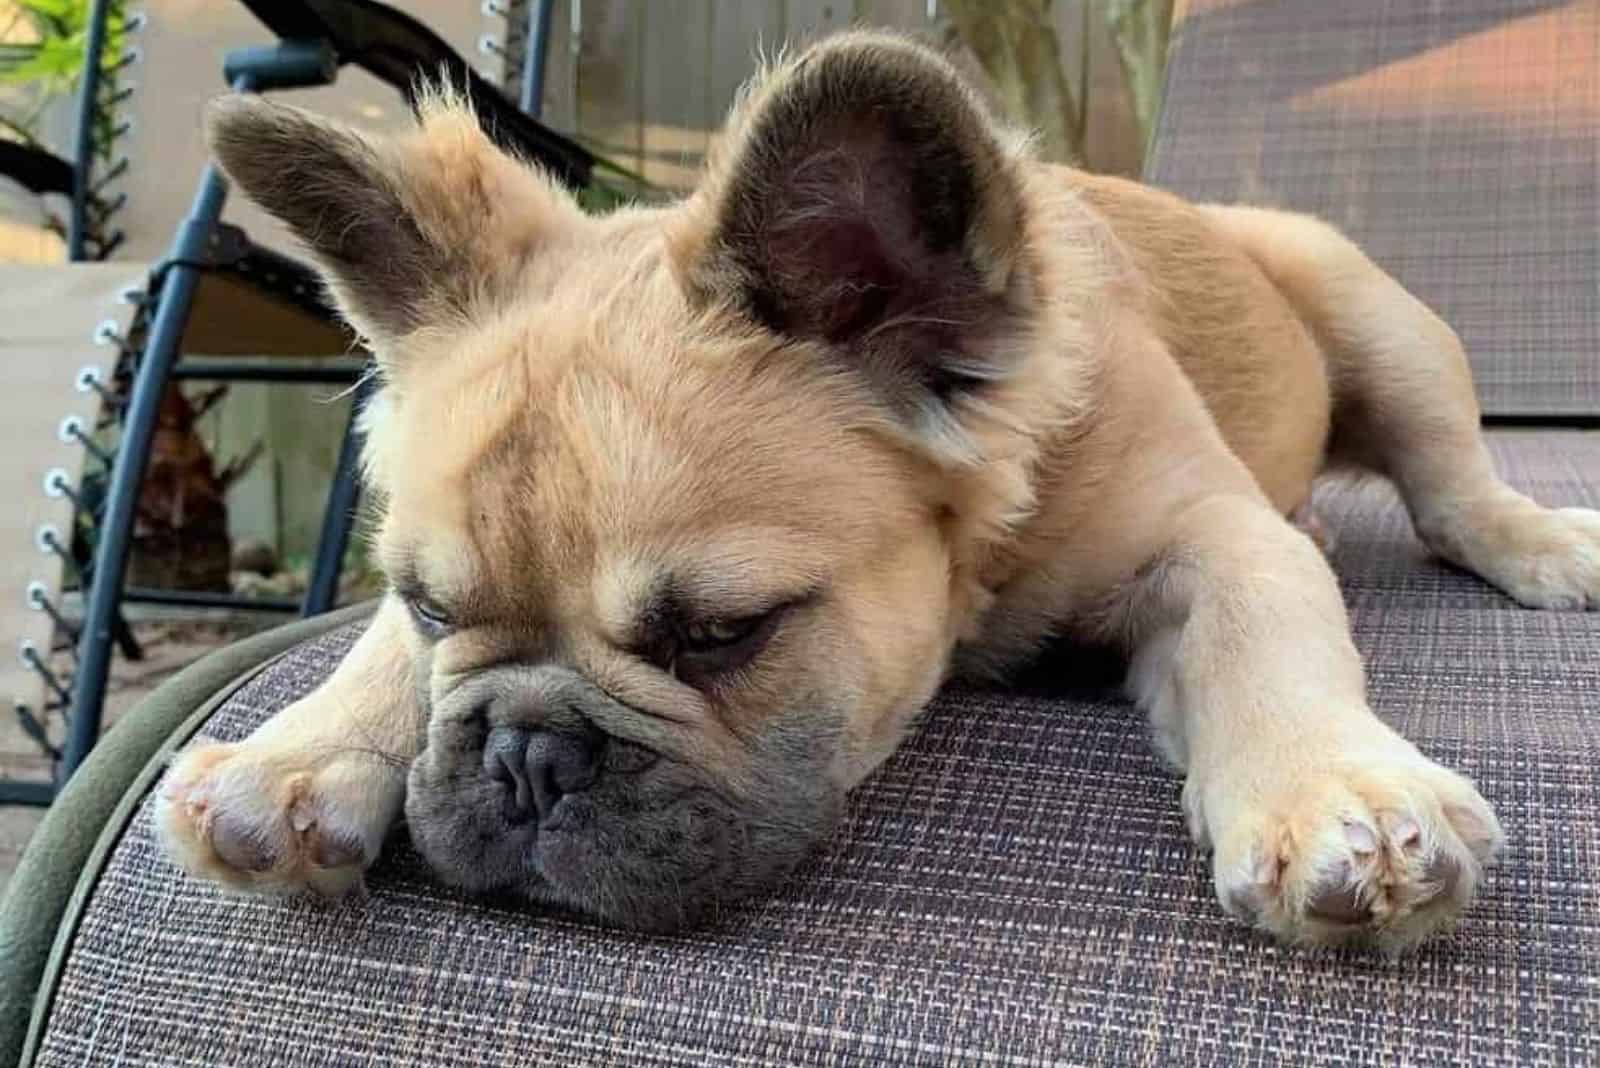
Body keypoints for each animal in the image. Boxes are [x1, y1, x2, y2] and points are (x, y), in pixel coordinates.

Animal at [152, 31, 1600, 952]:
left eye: (722, 634)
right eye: (433, 611)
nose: (524, 756)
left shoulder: (1209, 534)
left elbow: (1268, 618)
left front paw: (1336, 792)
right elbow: (374, 663)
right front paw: (303, 750)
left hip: (1378, 318)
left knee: (1451, 486)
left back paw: (1540, 542)